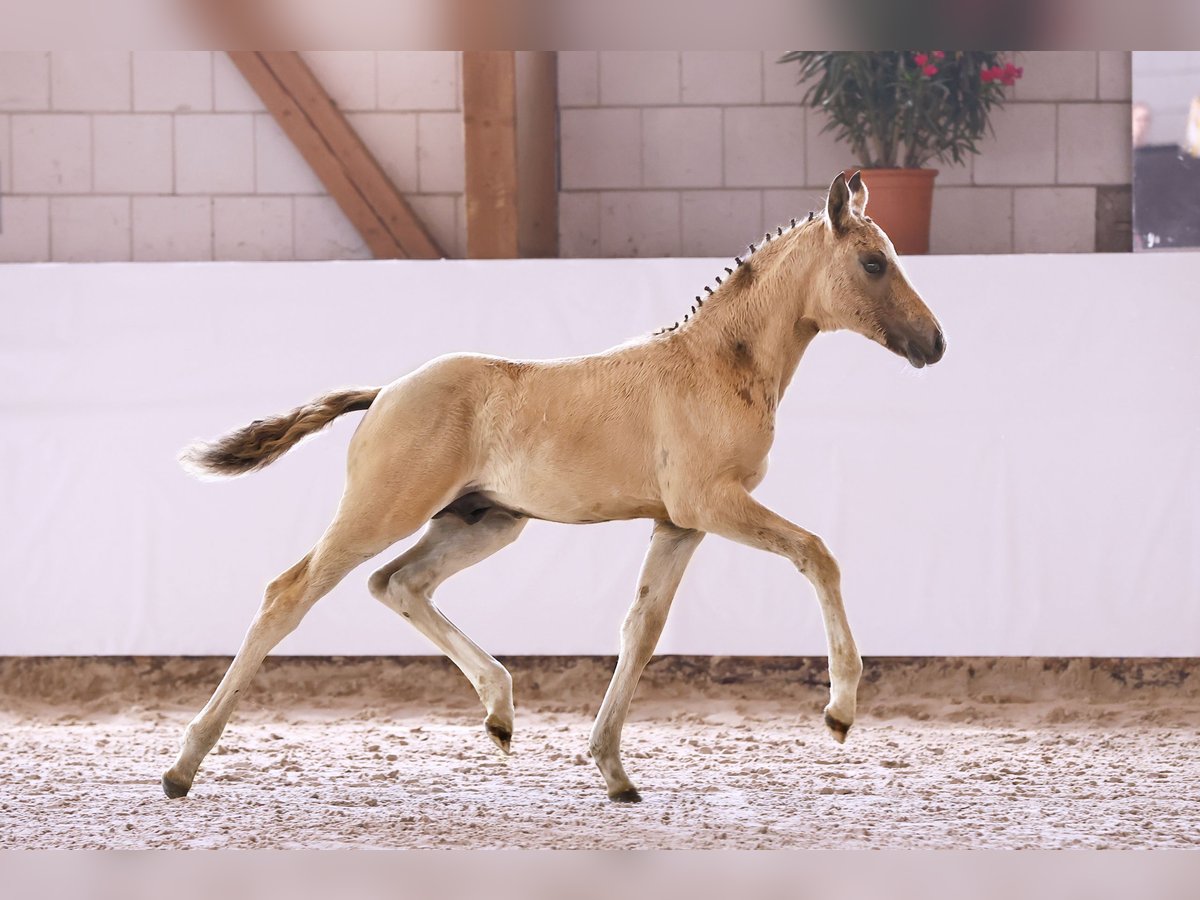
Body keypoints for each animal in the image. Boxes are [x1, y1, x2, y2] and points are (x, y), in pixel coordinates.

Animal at [162, 174, 945, 801]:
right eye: (874, 261)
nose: (935, 343)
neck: (714, 365)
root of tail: (384, 391)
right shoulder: (711, 503)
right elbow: (818, 554)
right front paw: (840, 710)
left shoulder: (679, 522)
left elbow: (642, 628)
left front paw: (613, 770)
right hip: (382, 511)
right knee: (289, 594)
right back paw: (182, 766)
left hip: (484, 521)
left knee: (398, 583)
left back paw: (500, 713)